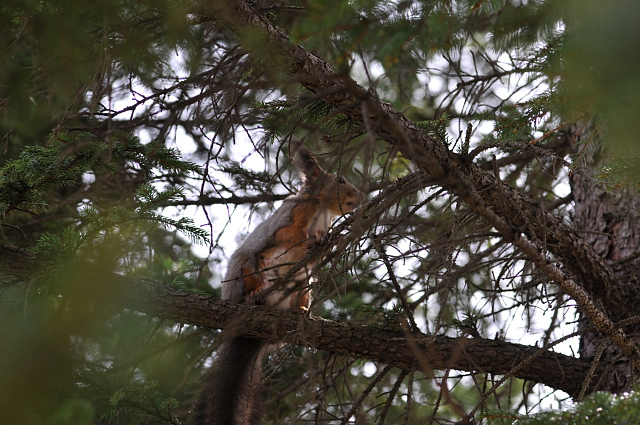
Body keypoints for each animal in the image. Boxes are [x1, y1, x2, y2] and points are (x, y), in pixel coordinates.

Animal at [195, 147, 362, 424]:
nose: (361, 196)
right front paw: (312, 241)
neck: (322, 211)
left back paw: (300, 310)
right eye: (341, 180)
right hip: (245, 267)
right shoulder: (293, 216)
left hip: (304, 283)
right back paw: (254, 293)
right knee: (250, 275)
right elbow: (290, 235)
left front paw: (329, 243)